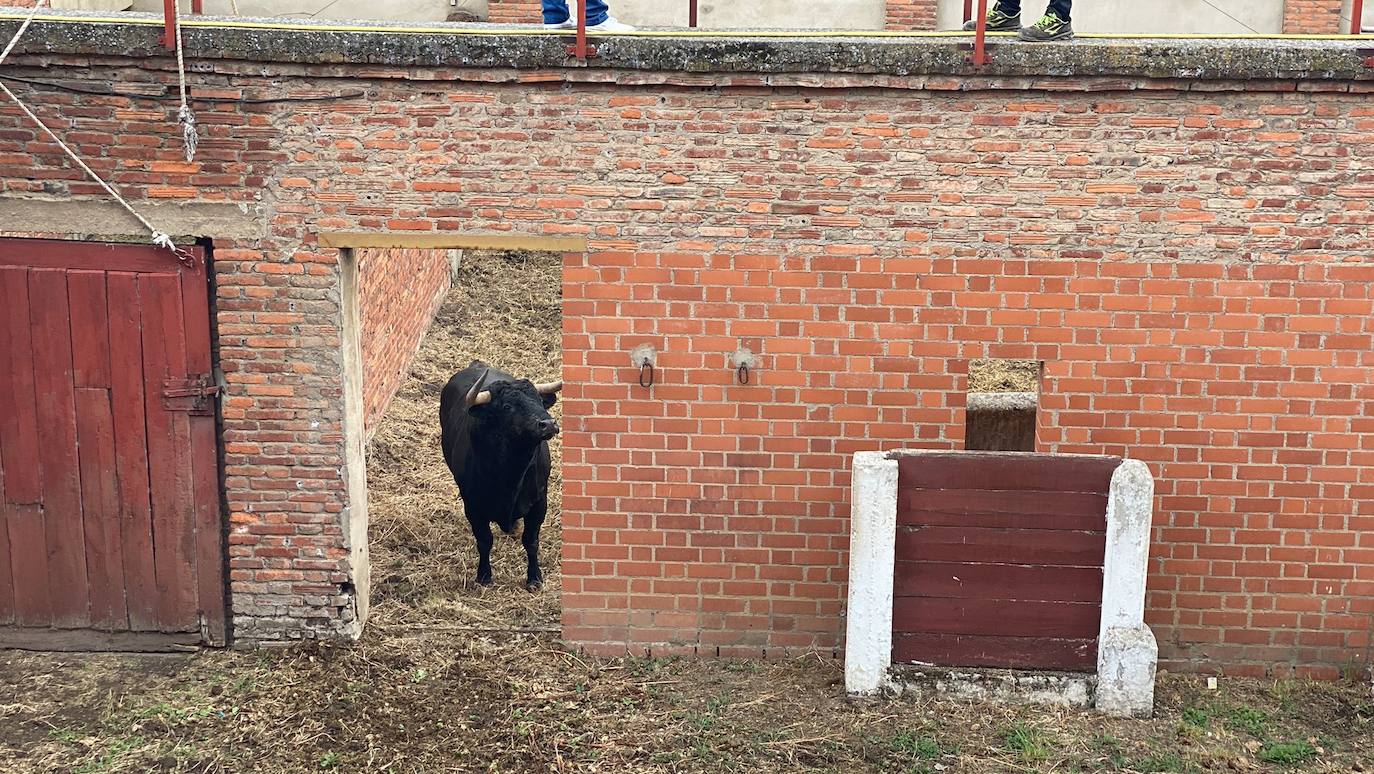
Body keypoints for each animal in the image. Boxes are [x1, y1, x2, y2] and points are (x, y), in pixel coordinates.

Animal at [445, 360, 563, 591]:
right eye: (508, 407)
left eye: (539, 401)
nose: (549, 424)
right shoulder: (473, 507)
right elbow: (484, 540)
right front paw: (484, 576)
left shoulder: (539, 503)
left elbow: (531, 541)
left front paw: (534, 578)